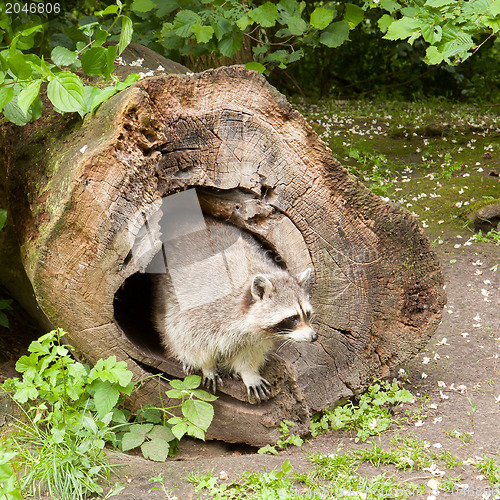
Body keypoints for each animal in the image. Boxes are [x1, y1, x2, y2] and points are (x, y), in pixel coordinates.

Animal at [152, 217, 316, 404]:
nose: (314, 337)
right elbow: (191, 340)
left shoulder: (254, 337)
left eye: (307, 314)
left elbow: (248, 353)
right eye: (293, 318)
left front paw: (248, 373)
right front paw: (207, 366)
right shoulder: (200, 311)